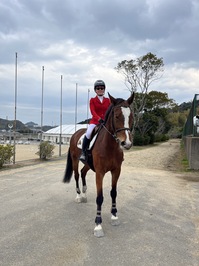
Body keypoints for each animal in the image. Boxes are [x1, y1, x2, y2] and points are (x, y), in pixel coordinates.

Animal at [63, 92, 135, 237]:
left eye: (131, 116)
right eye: (116, 116)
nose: (126, 143)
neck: (110, 146)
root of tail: (75, 134)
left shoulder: (116, 171)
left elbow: (113, 193)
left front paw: (114, 216)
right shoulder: (100, 173)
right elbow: (100, 198)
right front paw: (98, 225)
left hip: (88, 164)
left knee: (83, 172)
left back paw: (84, 194)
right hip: (74, 160)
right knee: (77, 175)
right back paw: (79, 196)